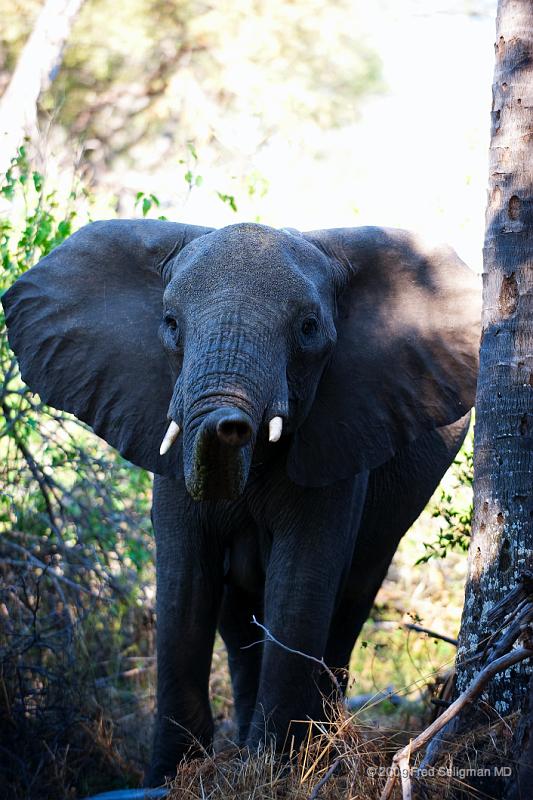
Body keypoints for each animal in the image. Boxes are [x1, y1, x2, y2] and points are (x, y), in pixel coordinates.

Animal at [2, 220, 480, 788]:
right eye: (170, 323)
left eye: (308, 329)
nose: (229, 422)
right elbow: (184, 584)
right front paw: (171, 778)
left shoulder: (338, 441)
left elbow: (299, 585)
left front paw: (272, 774)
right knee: (237, 617)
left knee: (350, 601)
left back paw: (318, 741)